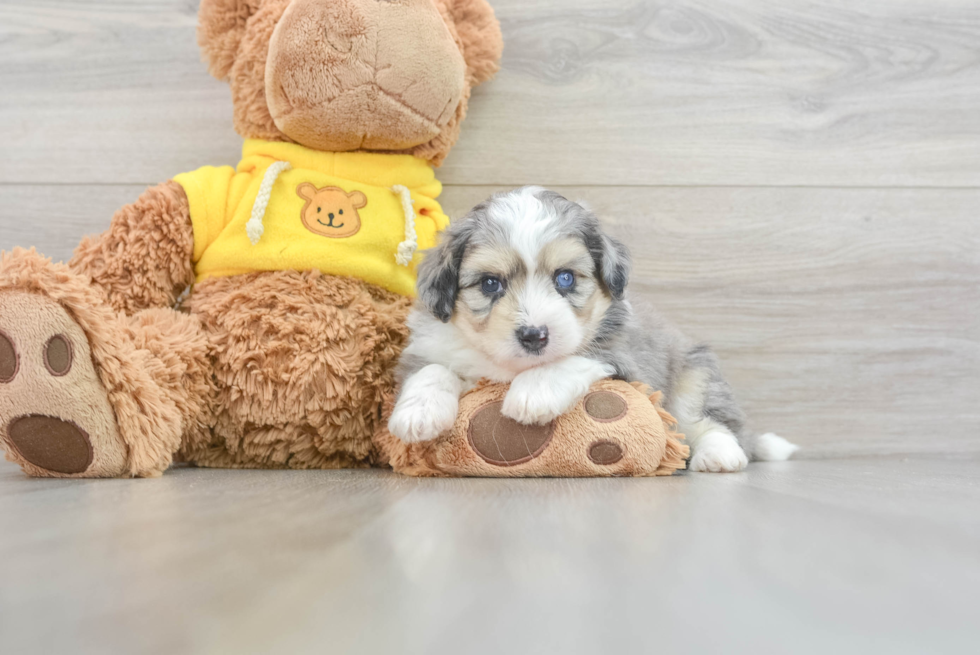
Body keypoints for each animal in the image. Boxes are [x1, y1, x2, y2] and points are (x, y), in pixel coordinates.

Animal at [384, 186, 796, 472]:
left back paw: (720, 455)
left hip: (696, 376)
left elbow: (575, 356)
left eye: (565, 278)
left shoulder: (623, 355)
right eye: (489, 284)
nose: (534, 336)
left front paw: (533, 393)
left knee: (712, 422)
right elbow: (432, 370)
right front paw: (418, 413)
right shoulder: (431, 345)